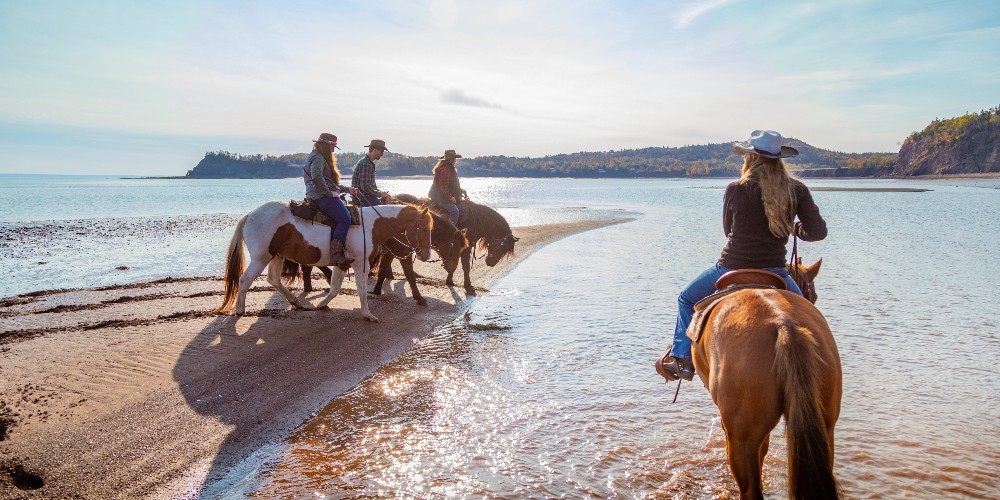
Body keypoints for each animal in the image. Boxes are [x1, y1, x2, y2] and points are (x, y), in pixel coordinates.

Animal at [215, 199, 434, 320]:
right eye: (424, 228)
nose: (426, 255)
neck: (371, 224)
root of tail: (250, 215)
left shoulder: (342, 264)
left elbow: (335, 288)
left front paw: (322, 305)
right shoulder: (360, 263)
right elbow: (362, 291)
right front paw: (367, 315)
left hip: (275, 256)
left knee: (274, 279)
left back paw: (297, 302)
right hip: (261, 257)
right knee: (245, 280)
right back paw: (240, 310)